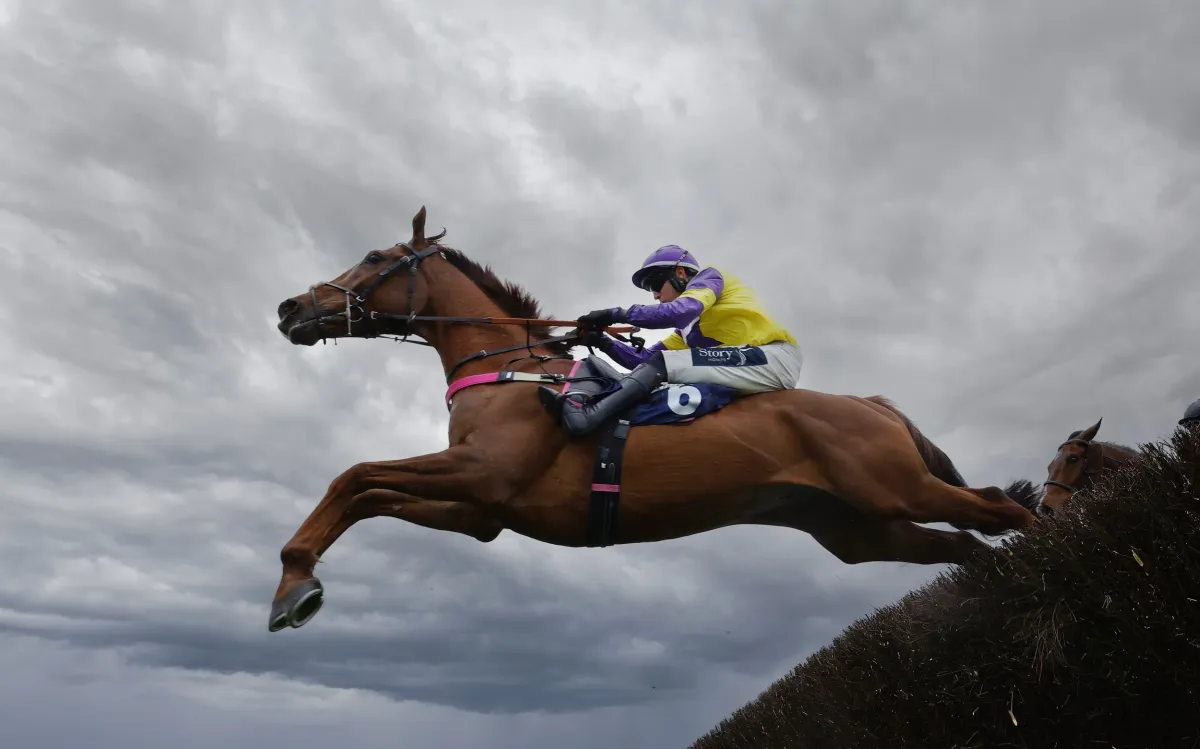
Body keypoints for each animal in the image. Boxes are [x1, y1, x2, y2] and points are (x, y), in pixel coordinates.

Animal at [266, 206, 1036, 632]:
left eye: (373, 255)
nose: (289, 307)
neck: (508, 369)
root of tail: (869, 404)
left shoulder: (482, 471)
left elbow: (352, 474)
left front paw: (293, 581)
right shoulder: (480, 508)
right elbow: (367, 494)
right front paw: (299, 584)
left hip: (895, 488)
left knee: (1000, 509)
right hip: (860, 529)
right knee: (969, 545)